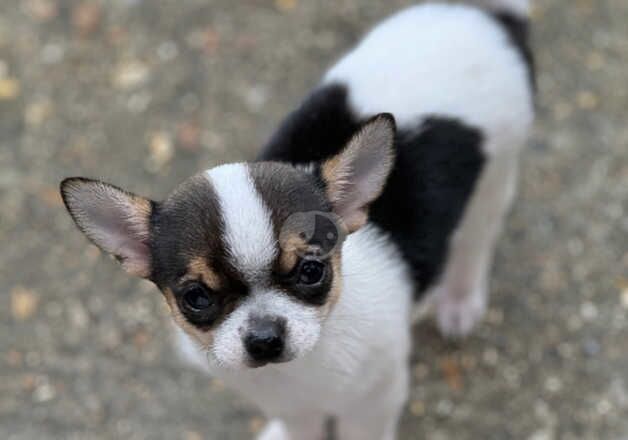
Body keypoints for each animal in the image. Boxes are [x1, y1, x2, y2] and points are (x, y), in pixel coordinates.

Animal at [61, 0, 536, 440]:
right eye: (196, 297)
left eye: (311, 271)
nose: (264, 336)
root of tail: (487, 15)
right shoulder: (292, 406)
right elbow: (300, 425)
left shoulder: (374, 401)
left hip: (498, 174)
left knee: (477, 237)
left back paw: (459, 299)